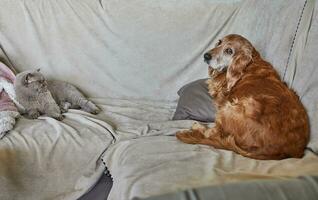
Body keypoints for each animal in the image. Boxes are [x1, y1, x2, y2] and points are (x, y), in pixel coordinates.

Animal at [175, 34, 310, 159]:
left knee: (213, 133)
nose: (206, 55)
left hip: (230, 108)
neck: (249, 64)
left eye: (229, 51)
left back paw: (197, 126)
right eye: (219, 42)